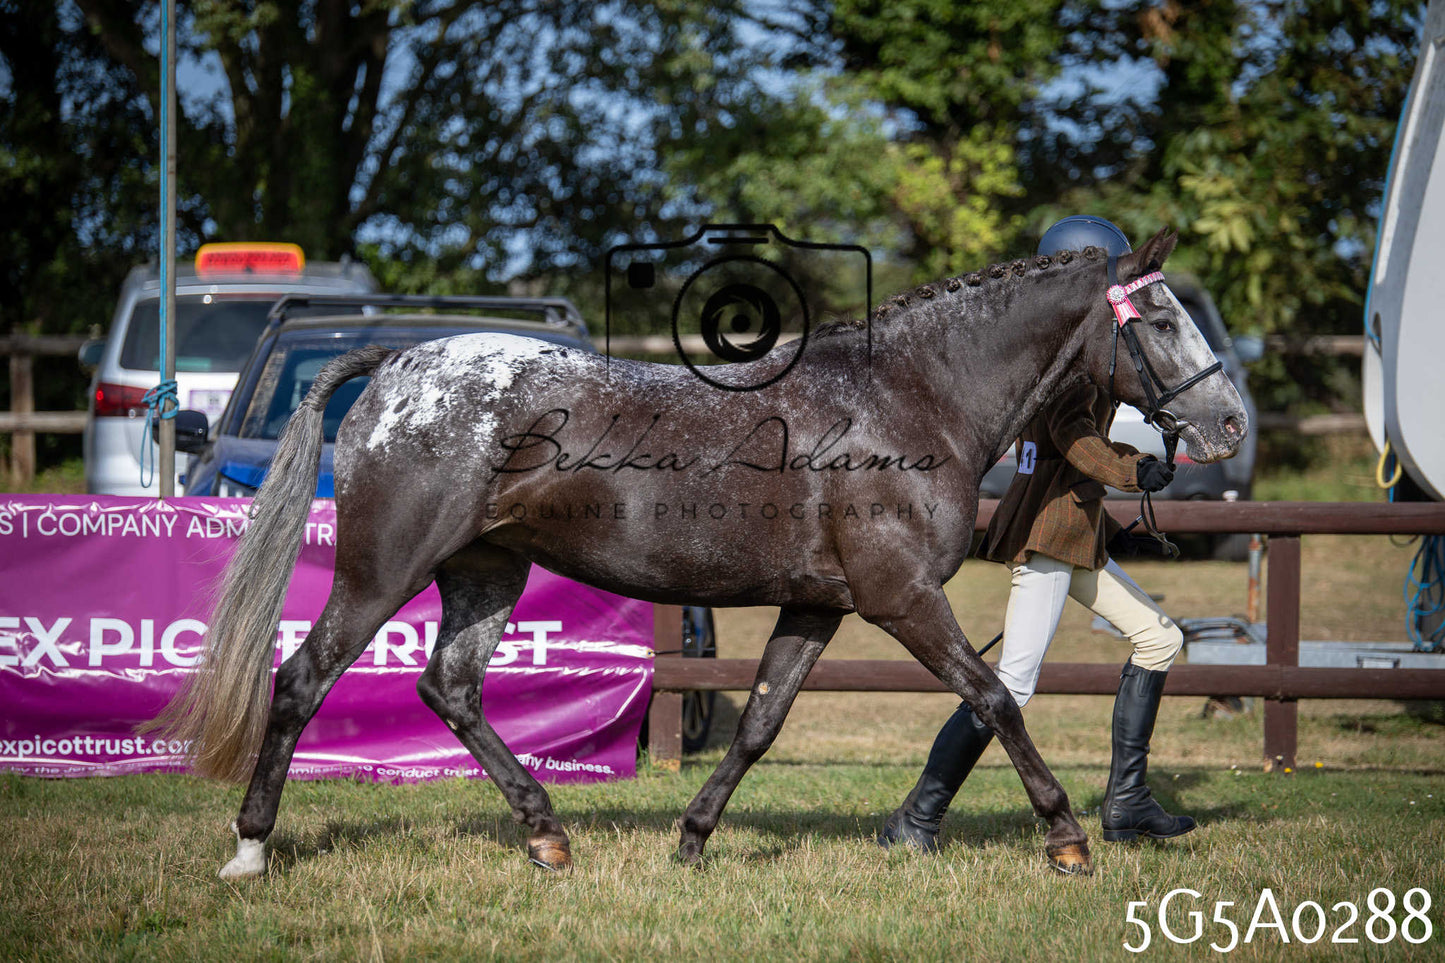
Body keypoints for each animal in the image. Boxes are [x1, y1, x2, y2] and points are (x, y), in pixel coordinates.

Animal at [152, 228, 1247, 879]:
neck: (902, 398)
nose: (1228, 423)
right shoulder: (900, 599)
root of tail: (398, 367)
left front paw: (690, 838)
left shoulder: (819, 605)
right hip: (384, 568)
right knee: (302, 679)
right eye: (1157, 318)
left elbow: (759, 723)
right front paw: (1066, 838)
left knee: (449, 688)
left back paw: (546, 833)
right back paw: (250, 849)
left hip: (486, 570)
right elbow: (994, 700)